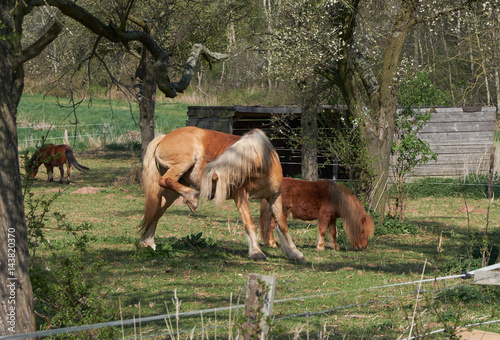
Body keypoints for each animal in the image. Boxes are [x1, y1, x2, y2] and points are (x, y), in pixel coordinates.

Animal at [139, 126, 306, 262]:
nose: (213, 178)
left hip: (175, 186)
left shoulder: (274, 197)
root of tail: (164, 137)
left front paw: (294, 253)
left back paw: (148, 242)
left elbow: (282, 224)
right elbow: (249, 223)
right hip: (180, 165)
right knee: (164, 181)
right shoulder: (241, 196)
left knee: (157, 211)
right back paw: (192, 197)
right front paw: (256, 252)